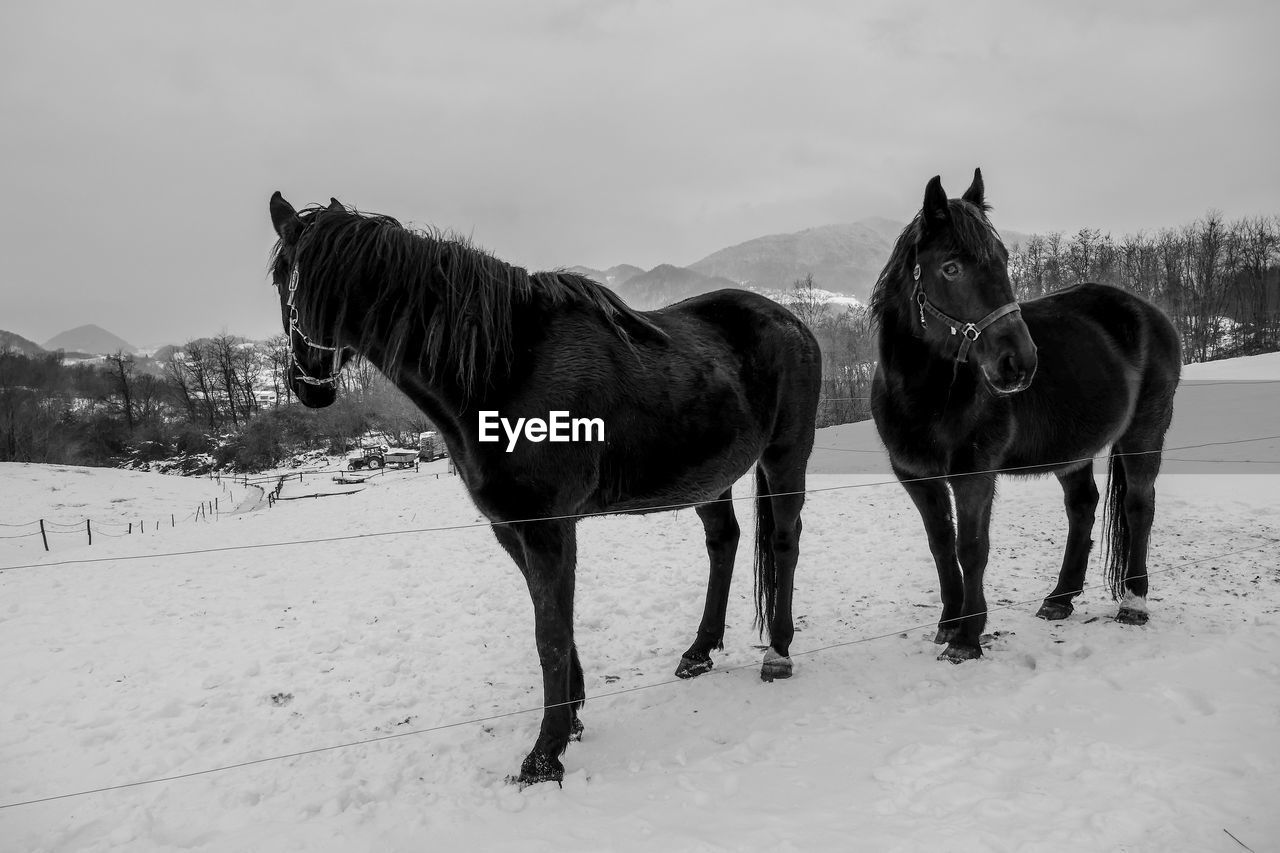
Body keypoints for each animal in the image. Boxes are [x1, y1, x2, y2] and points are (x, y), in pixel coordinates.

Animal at [267, 190, 819, 783]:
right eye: (282, 278)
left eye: (318, 282)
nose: (308, 384)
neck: (505, 369)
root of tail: (791, 320)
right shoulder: (511, 528)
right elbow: (554, 623)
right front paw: (571, 717)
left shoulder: (548, 527)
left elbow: (549, 636)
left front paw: (544, 755)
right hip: (707, 478)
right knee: (724, 542)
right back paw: (699, 652)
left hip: (786, 456)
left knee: (783, 542)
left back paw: (778, 653)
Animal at [870, 169, 1177, 660]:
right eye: (951, 268)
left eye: (1003, 260)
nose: (1020, 362)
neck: (927, 396)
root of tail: (1150, 313)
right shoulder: (917, 477)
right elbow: (941, 546)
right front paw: (948, 624)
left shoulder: (974, 475)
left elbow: (972, 548)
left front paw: (967, 638)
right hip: (1072, 450)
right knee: (1082, 506)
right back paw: (1059, 599)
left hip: (1144, 433)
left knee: (1138, 506)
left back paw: (1133, 602)